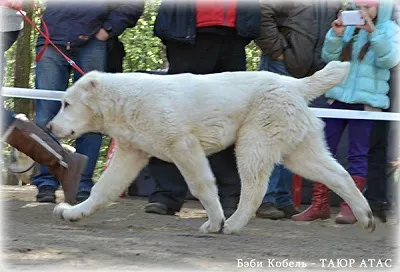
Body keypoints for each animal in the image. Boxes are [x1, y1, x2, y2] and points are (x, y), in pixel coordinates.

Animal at [49, 61, 376, 234]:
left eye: (67, 104)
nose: (51, 128)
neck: (124, 100)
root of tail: (296, 85)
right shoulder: (131, 153)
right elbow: (102, 190)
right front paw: (75, 213)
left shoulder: (184, 146)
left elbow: (202, 186)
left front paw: (214, 221)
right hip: (300, 152)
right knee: (339, 176)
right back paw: (365, 216)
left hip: (253, 143)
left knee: (255, 188)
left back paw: (232, 224)